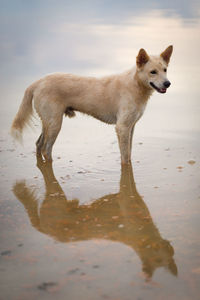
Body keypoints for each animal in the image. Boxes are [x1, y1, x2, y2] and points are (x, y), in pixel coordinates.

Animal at [10, 45, 173, 165]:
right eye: (153, 72)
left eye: (165, 70)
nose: (168, 83)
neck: (135, 85)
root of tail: (37, 82)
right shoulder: (122, 127)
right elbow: (125, 157)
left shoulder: (131, 126)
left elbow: (129, 152)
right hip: (55, 123)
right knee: (46, 149)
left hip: (49, 122)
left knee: (38, 145)